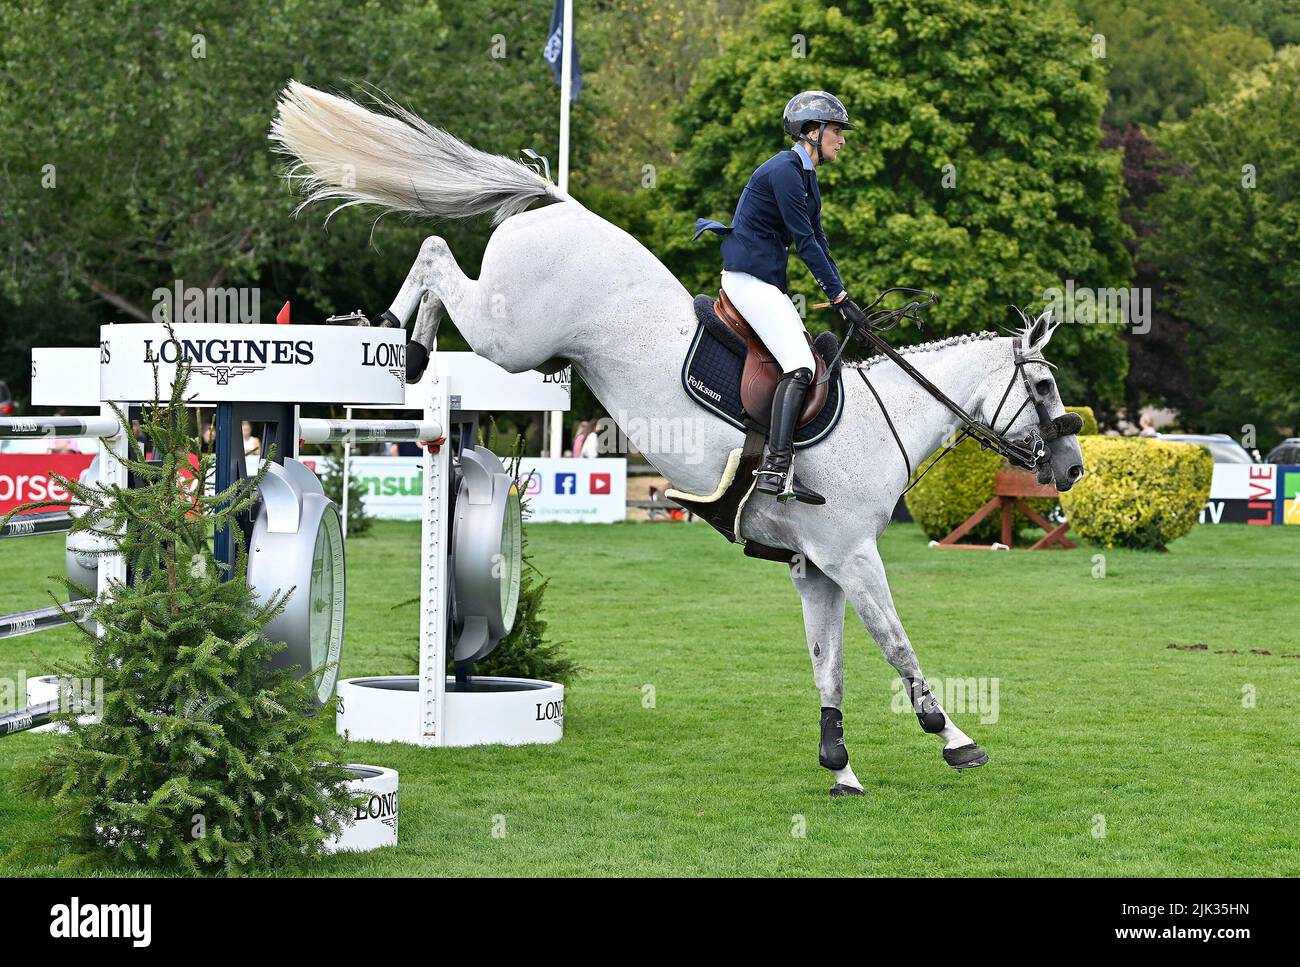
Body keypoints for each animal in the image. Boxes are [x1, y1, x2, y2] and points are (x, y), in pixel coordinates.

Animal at [274, 83, 1086, 795]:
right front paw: (953, 736)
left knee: (439, 257)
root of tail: (563, 206)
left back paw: (404, 345)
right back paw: (396, 337)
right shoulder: (853, 556)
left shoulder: (816, 567)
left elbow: (828, 662)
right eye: (1045, 389)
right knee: (438, 252)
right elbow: (896, 643)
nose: (1074, 468)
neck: (879, 423)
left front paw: (840, 765)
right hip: (512, 335)